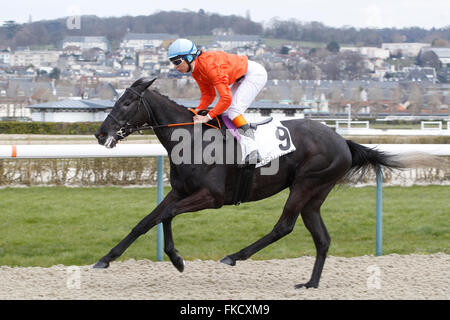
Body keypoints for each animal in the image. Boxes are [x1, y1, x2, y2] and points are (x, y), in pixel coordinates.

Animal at [94, 77, 428, 288]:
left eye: (126, 103)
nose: (100, 133)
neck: (191, 140)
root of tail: (342, 141)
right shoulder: (180, 191)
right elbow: (145, 222)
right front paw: (105, 259)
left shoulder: (212, 197)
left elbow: (165, 215)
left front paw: (176, 259)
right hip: (315, 195)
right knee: (321, 238)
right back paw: (311, 283)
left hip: (305, 184)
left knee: (284, 226)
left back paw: (234, 256)